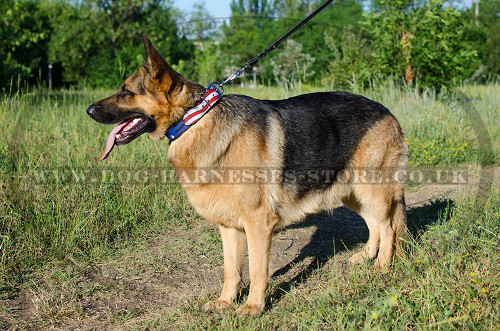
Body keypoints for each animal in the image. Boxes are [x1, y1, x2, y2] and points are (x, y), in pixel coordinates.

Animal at [86, 37, 408, 318]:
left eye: (125, 92)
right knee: (375, 223)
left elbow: (256, 270)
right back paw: (367, 257)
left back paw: (382, 266)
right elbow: (232, 270)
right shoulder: (229, 227)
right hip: (352, 193)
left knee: (389, 225)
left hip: (370, 190)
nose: (88, 110)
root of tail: (387, 111)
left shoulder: (258, 224)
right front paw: (226, 301)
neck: (194, 118)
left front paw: (254, 306)